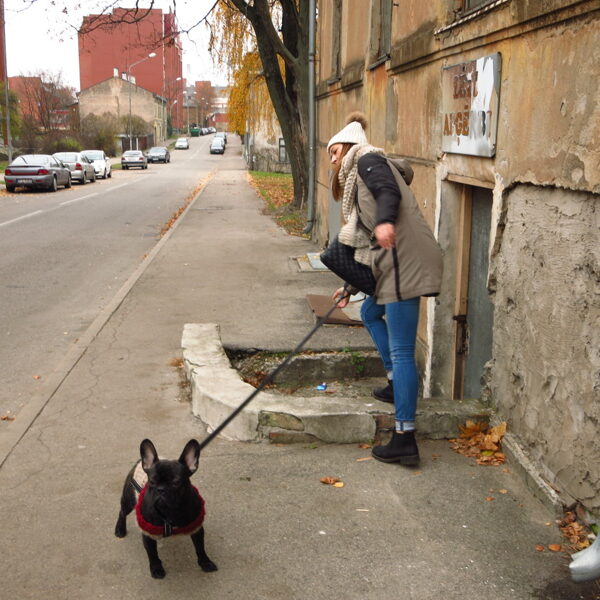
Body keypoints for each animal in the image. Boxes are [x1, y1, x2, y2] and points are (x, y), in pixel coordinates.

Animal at [114, 438, 218, 579]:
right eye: (152, 482)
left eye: (176, 482)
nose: (161, 489)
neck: (169, 510)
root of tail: (139, 461)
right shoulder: (148, 533)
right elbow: (152, 554)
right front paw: (156, 569)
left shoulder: (196, 528)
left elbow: (200, 548)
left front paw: (205, 563)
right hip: (129, 500)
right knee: (122, 512)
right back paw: (120, 529)